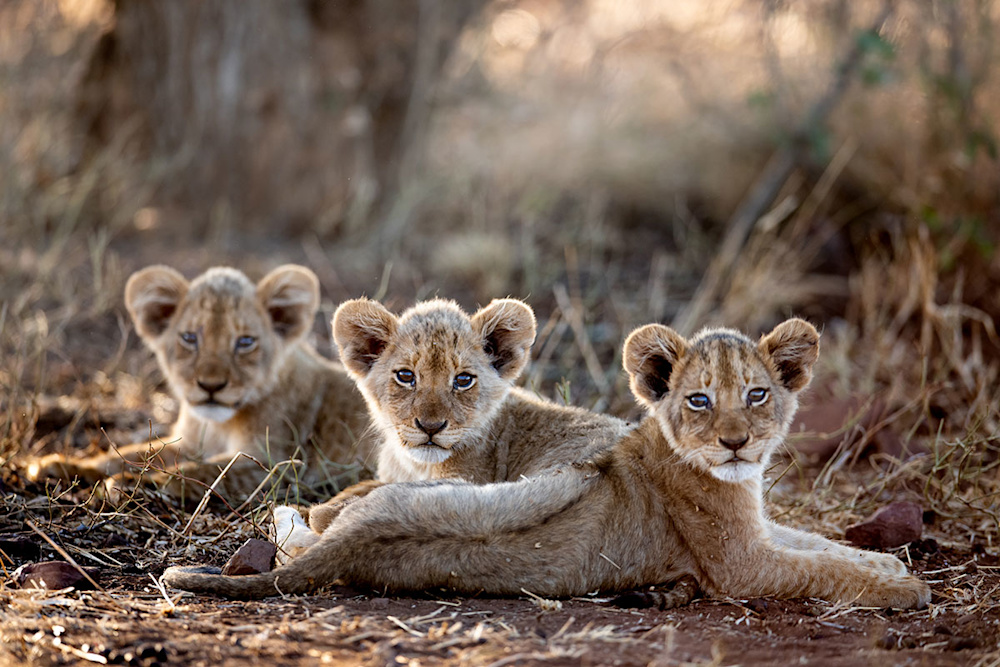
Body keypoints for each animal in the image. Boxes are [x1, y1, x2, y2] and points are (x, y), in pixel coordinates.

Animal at [27, 265, 375, 502]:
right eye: (190, 338)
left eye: (245, 342)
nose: (211, 386)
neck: (217, 425)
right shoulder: (189, 443)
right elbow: (125, 454)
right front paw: (59, 465)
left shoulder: (279, 464)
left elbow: (206, 473)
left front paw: (144, 482)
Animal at [163, 317, 930, 609]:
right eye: (700, 399)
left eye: (759, 394)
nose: (737, 442)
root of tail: (359, 545)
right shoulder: (739, 564)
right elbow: (817, 568)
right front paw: (903, 588)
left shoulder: (761, 530)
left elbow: (820, 543)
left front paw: (887, 564)